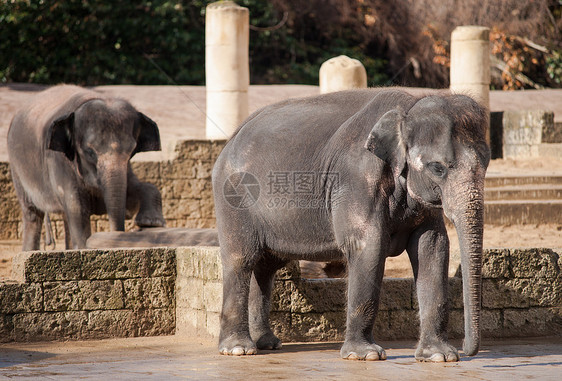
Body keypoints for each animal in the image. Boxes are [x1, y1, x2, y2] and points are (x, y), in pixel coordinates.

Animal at [7, 84, 165, 249]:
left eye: (132, 150)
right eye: (89, 151)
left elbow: (136, 190)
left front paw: (151, 222)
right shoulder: (59, 162)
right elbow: (77, 208)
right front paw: (84, 246)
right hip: (17, 168)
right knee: (32, 214)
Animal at [212, 87, 488, 360]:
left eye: (486, 164)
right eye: (437, 168)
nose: (467, 349)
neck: (409, 107)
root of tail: (230, 140)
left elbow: (432, 247)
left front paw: (440, 356)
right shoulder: (356, 178)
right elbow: (369, 246)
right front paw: (365, 355)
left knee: (266, 266)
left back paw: (267, 344)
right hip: (233, 197)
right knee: (241, 259)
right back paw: (238, 349)